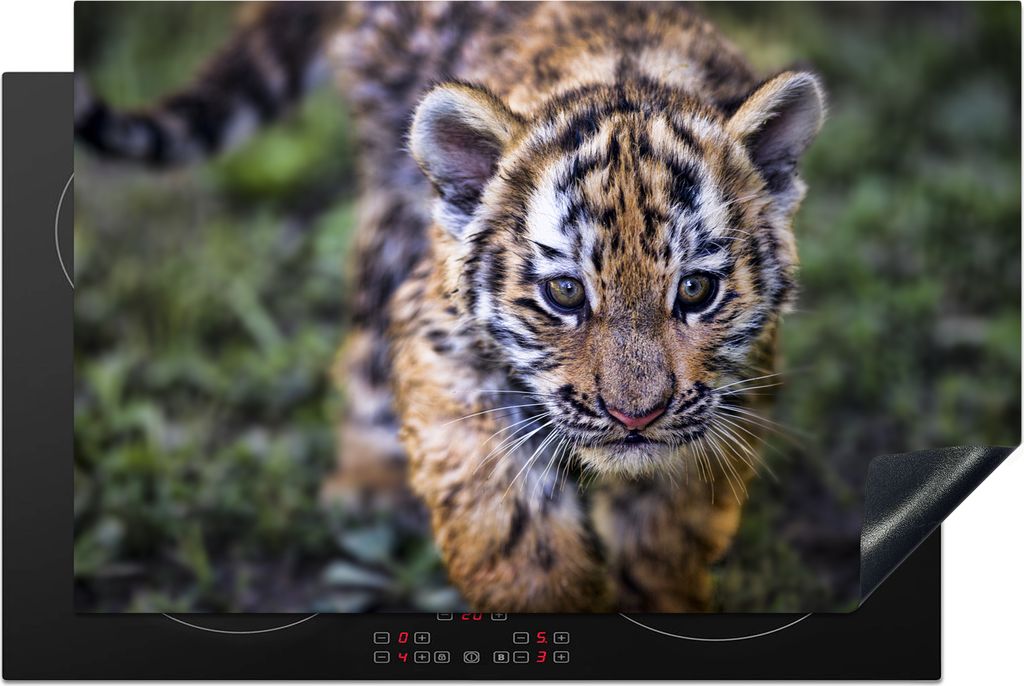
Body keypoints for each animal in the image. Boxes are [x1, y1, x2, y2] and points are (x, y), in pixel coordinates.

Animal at [76, 1, 824, 612]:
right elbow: (506, 518)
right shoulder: (443, 350)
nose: (633, 417)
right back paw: (369, 481)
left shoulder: (730, 385)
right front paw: (546, 597)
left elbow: (670, 522)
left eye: (697, 291)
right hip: (391, 209)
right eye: (564, 293)